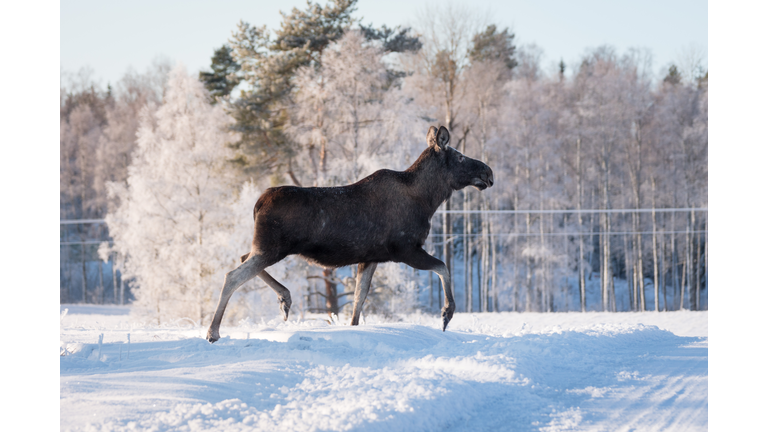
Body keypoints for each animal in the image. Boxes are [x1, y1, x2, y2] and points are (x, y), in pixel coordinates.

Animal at [206, 126, 492, 342]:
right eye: (460, 156)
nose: (488, 172)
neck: (429, 200)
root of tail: (257, 203)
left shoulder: (371, 257)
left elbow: (358, 299)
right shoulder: (406, 249)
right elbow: (443, 267)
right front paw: (446, 313)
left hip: (267, 247)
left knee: (242, 257)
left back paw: (284, 298)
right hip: (272, 247)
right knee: (233, 275)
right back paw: (213, 331)